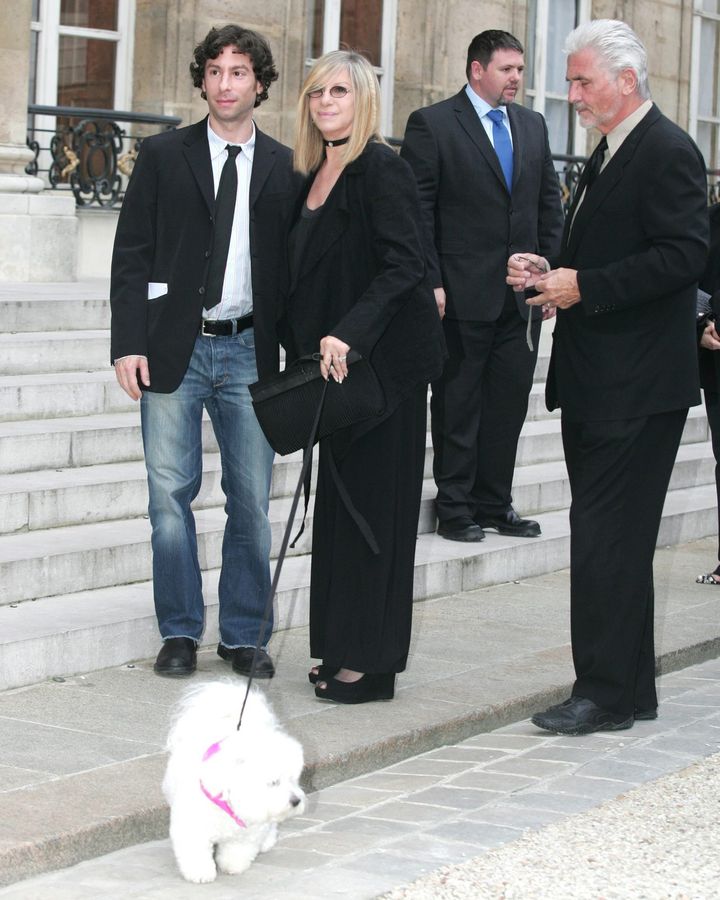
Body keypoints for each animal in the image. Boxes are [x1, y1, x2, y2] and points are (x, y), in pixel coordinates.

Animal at [162, 684, 306, 880]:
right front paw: (200, 873)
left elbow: (237, 851)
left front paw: (232, 866)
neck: (231, 801)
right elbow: (196, 851)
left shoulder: (249, 832)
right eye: (274, 782)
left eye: (293, 779)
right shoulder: (193, 826)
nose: (296, 801)